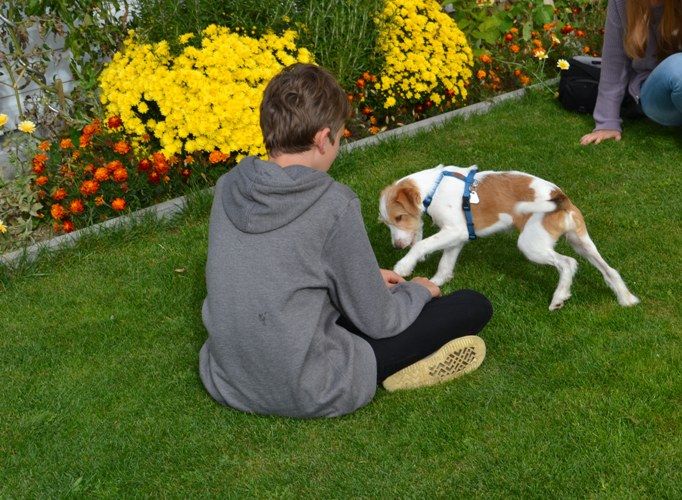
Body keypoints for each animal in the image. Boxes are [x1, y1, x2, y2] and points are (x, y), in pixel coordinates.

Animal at [379, 164, 640, 310]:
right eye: (386, 223)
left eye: (400, 217)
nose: (396, 246)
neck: (434, 187)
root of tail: (559, 196)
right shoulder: (459, 235)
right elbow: (445, 264)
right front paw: (434, 283)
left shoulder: (454, 231)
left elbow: (422, 245)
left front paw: (404, 266)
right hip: (581, 241)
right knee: (609, 270)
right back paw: (626, 299)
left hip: (531, 244)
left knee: (568, 263)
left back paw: (559, 297)